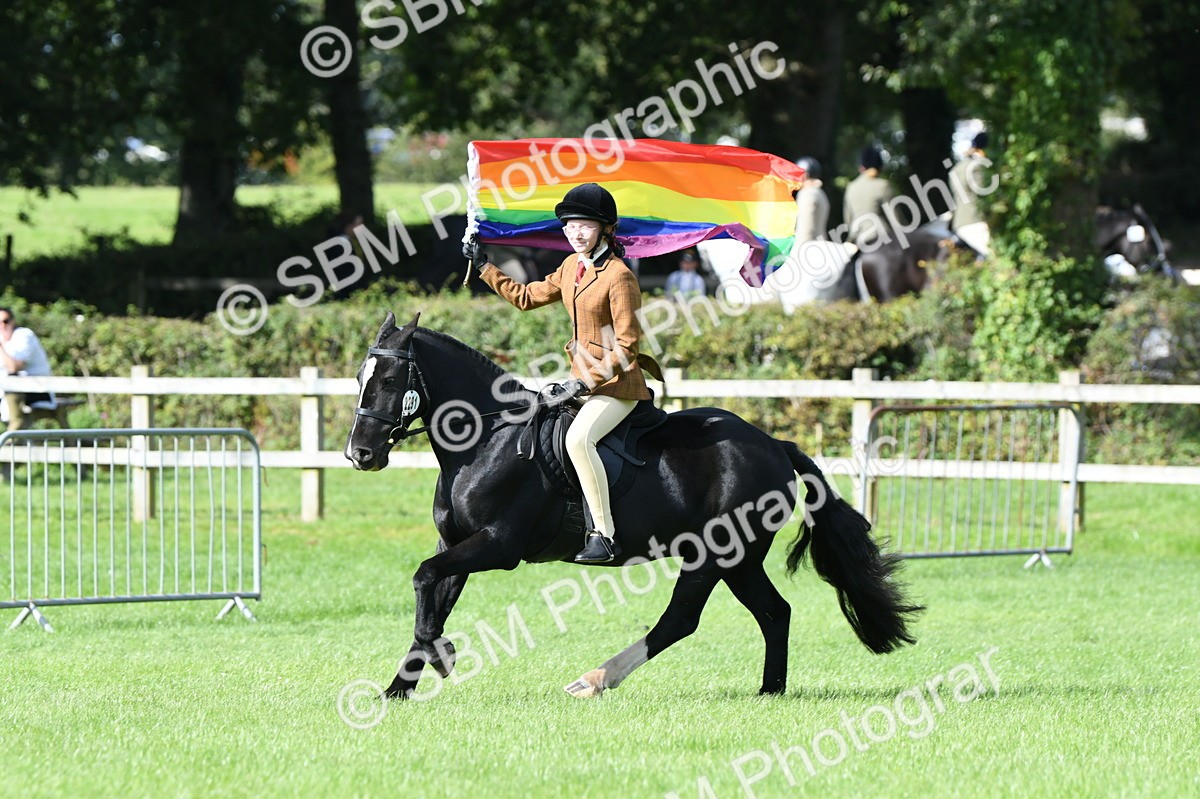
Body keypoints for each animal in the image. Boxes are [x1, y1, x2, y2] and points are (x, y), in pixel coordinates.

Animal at [345, 312, 923, 699]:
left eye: (391, 380)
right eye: (359, 379)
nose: (360, 454)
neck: (488, 438)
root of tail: (772, 445)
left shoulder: (497, 546)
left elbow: (424, 578)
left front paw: (440, 658)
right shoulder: (458, 543)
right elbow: (431, 598)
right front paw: (397, 690)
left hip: (715, 554)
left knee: (681, 619)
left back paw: (595, 680)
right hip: (740, 560)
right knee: (773, 612)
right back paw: (769, 691)